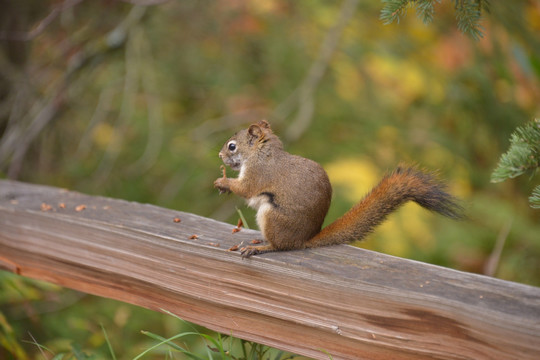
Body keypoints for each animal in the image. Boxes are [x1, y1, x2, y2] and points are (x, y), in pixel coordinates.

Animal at [213, 119, 462, 258]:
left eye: (232, 146)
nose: (220, 155)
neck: (262, 153)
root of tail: (303, 240)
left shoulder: (258, 173)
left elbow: (246, 189)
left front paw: (223, 182)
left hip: (272, 216)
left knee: (280, 246)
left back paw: (263, 247)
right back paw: (259, 241)